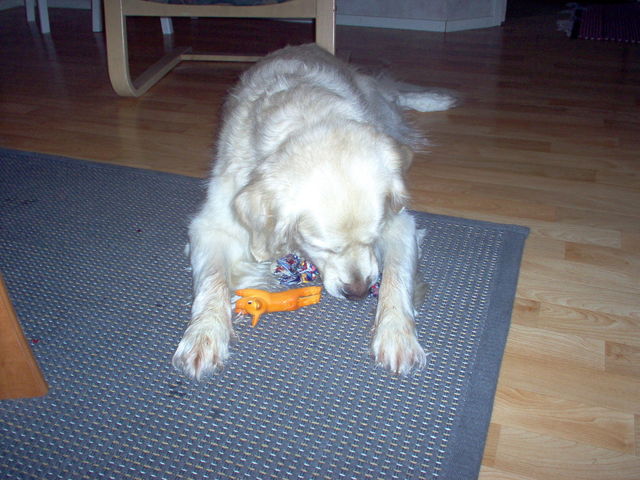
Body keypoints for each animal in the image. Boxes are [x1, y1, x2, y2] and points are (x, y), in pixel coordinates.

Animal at [172, 44, 456, 379]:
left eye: (372, 239)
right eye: (322, 247)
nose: (358, 293)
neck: (310, 118)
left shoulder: (399, 223)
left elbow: (396, 277)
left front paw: (397, 334)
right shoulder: (211, 224)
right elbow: (212, 280)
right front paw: (203, 334)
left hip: (375, 99)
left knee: (392, 94)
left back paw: (434, 99)